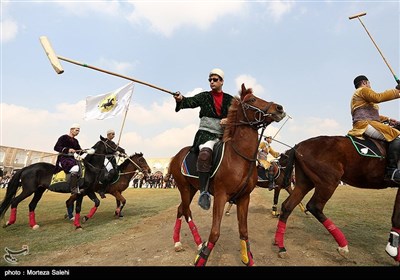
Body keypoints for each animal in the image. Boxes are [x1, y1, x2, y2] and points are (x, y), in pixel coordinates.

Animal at [167, 83, 286, 266]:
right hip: (184, 188)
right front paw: (202, 258)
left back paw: (183, 242)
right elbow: (215, 232)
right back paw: (194, 244)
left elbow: (244, 231)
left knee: (181, 209)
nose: (279, 108)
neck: (239, 157)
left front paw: (248, 258)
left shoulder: (244, 198)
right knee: (186, 210)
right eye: (252, 100)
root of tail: (176, 156)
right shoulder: (221, 196)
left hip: (192, 188)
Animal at [274, 135, 400, 264]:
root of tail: (298, 145)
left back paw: (281, 247)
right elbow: (396, 217)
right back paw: (343, 245)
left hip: (305, 183)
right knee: (314, 206)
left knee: (287, 206)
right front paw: (394, 252)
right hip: (329, 181)